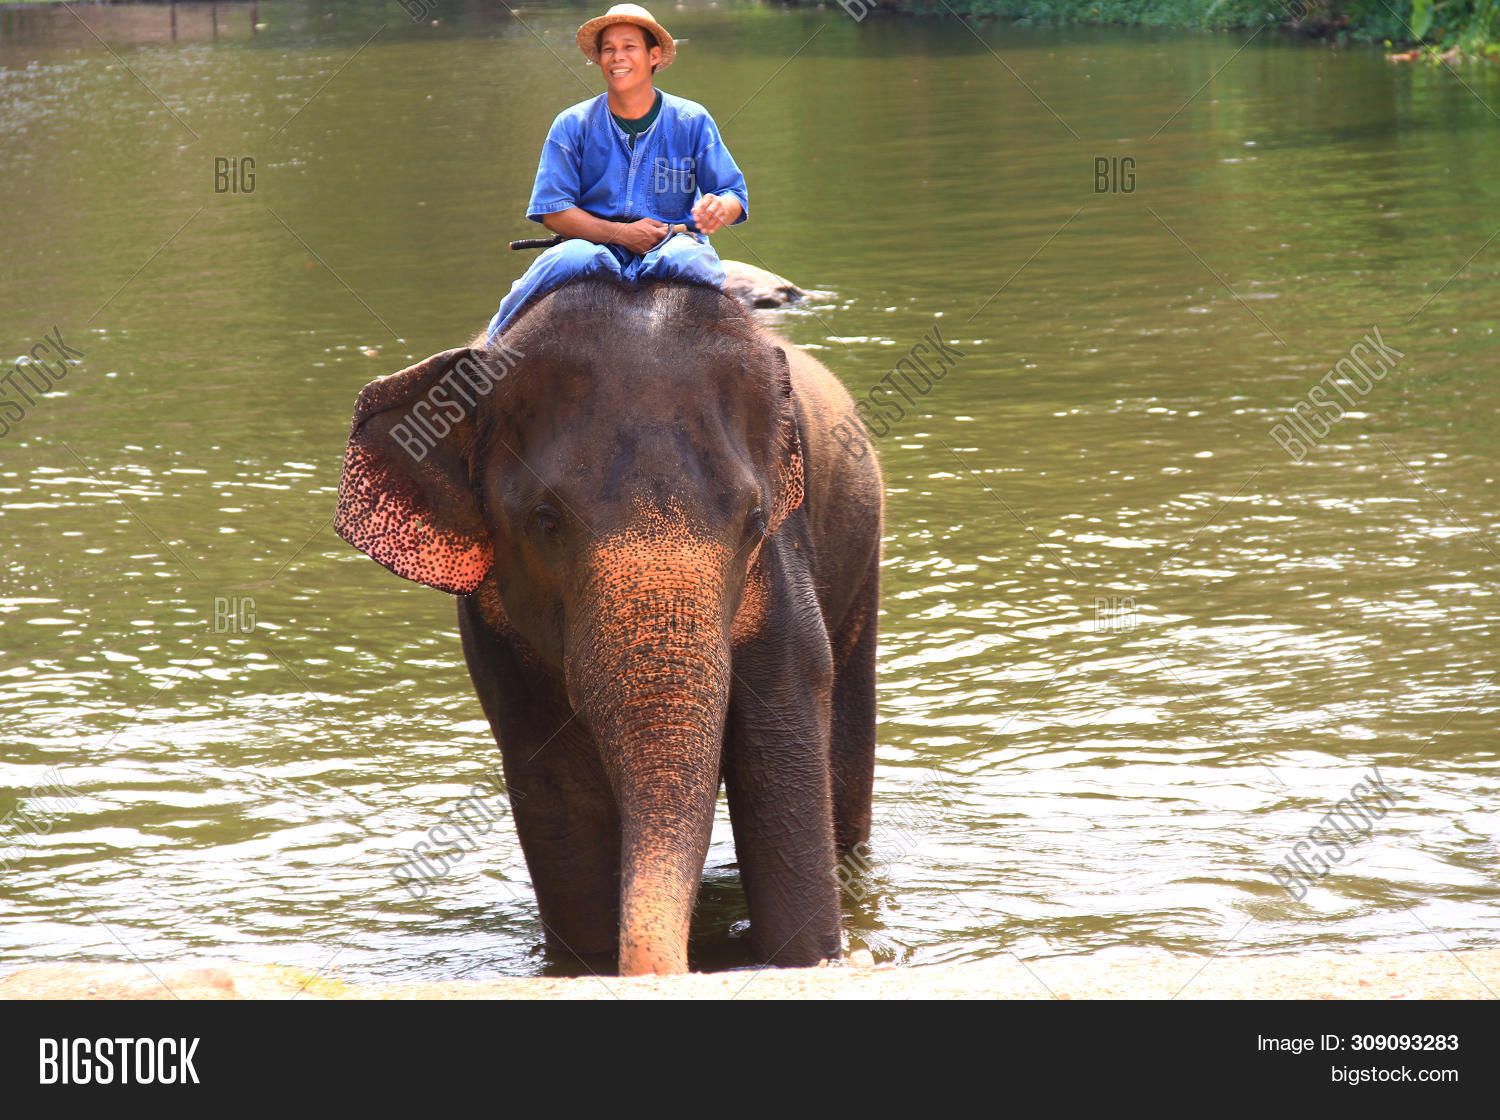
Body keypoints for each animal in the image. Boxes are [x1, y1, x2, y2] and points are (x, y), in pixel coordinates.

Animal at [335, 277, 883, 975]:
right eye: (545, 521)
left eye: (755, 522)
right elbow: (556, 782)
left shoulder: (784, 575)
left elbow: (781, 739)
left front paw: (808, 962)